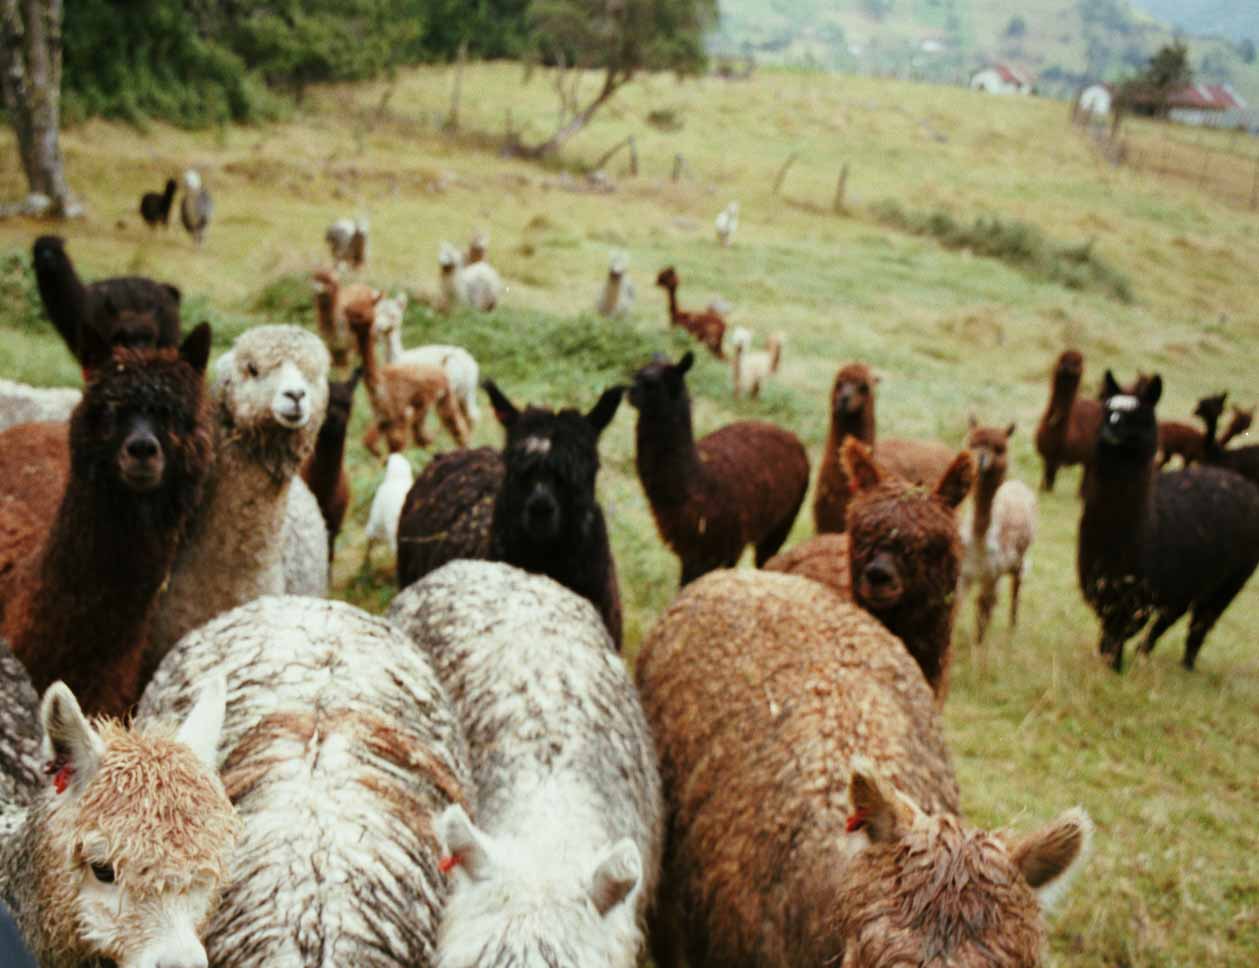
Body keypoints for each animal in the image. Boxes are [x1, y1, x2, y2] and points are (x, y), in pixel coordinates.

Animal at [31, 235, 182, 366]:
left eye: (57, 250)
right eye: (36, 250)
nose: (47, 259)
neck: (80, 302)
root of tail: (168, 289)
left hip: (166, 337)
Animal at [629, 351, 809, 585]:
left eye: (654, 382)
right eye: (636, 375)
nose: (630, 392)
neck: (699, 483)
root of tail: (791, 435)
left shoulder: (727, 547)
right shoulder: (689, 549)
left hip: (784, 521)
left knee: (766, 558)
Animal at [958, 419, 1038, 644]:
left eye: (999, 449)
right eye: (972, 443)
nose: (981, 458)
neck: (980, 539)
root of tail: (1016, 484)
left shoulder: (990, 576)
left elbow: (982, 613)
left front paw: (978, 647)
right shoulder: (964, 574)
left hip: (1018, 559)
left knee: (1015, 588)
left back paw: (1012, 627)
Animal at [1034, 348, 1101, 493]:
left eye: (1078, 363)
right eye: (1062, 360)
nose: (1067, 368)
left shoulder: (1056, 458)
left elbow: (1050, 481)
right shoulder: (1047, 456)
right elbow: (1046, 480)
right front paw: (1042, 490)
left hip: (1092, 457)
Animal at [1079, 371, 1259, 671]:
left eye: (1140, 415)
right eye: (1107, 410)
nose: (1110, 431)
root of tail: (1241, 483)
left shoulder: (1140, 597)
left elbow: (1119, 635)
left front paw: (1113, 669)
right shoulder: (1106, 591)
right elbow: (1108, 635)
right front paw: (1107, 665)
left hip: (1233, 578)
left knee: (1202, 621)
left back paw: (1186, 664)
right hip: (1190, 580)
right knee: (1173, 619)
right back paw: (1146, 654)